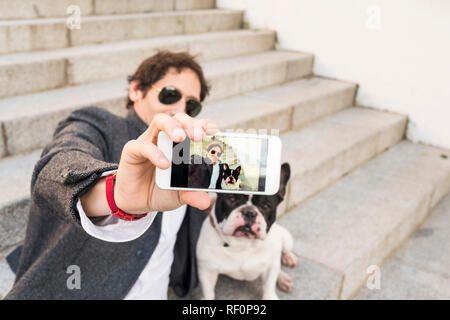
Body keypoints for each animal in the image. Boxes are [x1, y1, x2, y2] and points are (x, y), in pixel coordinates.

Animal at [198, 162, 298, 300]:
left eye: (266, 206)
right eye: (232, 199)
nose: (250, 212)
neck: (242, 243)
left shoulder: (270, 268)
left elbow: (269, 286)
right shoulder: (207, 270)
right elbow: (208, 292)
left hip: (286, 238)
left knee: (283, 253)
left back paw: (287, 264)